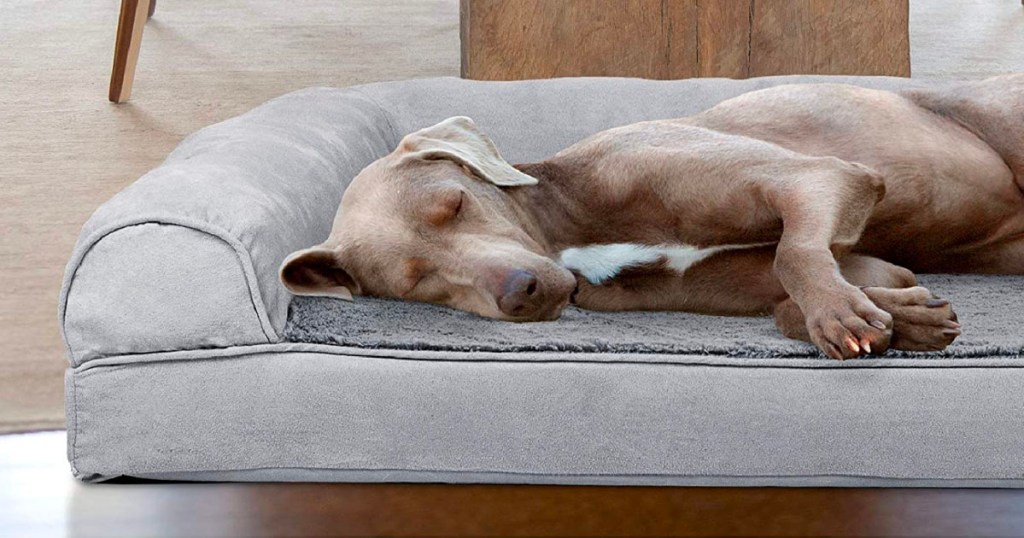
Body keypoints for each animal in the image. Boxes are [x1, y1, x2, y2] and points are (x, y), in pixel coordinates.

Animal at [280, 74, 1024, 360]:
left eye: (456, 203)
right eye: (415, 280)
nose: (523, 293)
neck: (568, 224)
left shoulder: (819, 177)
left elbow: (796, 252)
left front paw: (842, 315)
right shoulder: (868, 260)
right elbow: (800, 293)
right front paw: (903, 318)